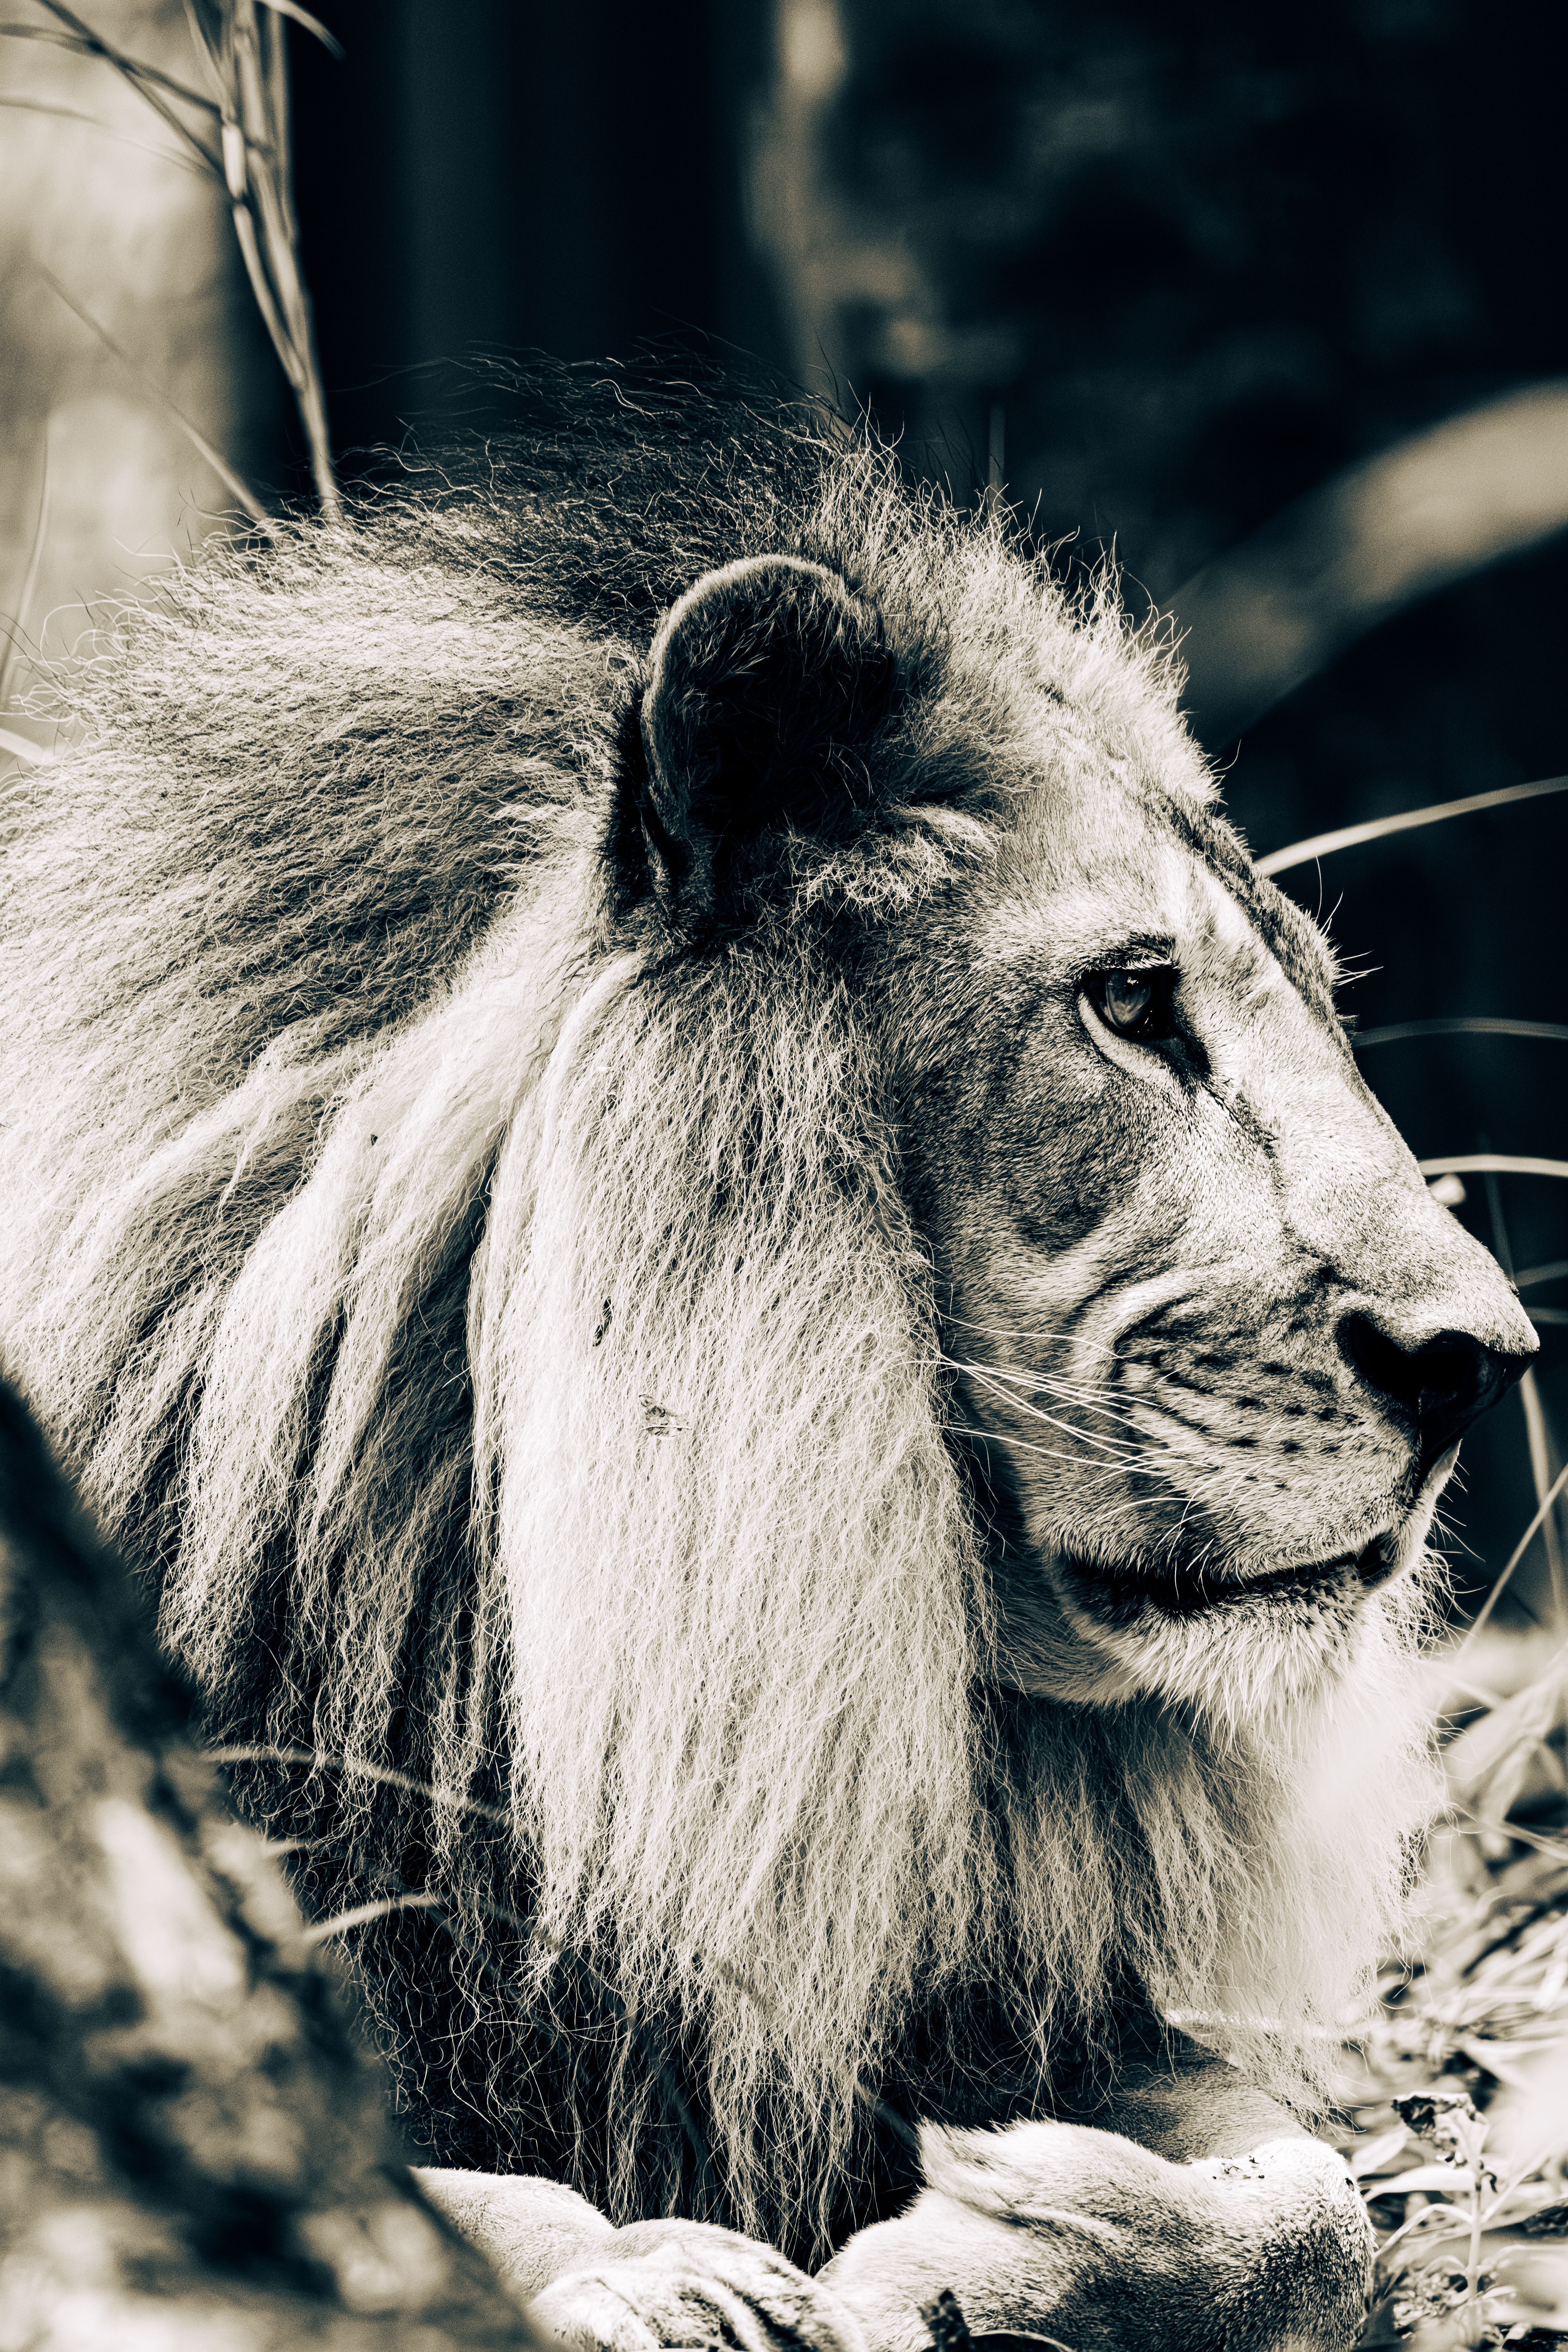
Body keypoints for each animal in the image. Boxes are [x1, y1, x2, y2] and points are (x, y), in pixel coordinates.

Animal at [0, 364, 1534, 2352]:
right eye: (1134, 1004)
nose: (1483, 1359)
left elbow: (1326, 2209)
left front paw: (1003, 2251)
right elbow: (415, 2191)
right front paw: (656, 2284)